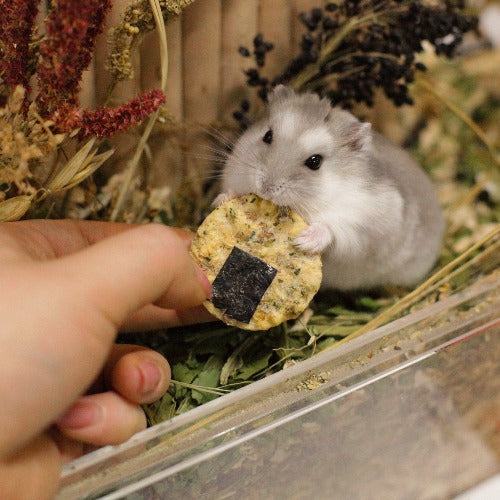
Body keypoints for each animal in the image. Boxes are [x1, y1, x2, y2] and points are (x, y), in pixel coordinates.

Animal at [217, 84, 444, 292]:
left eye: (315, 162)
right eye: (267, 136)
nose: (265, 188)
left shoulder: (364, 227)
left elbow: (334, 231)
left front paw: (302, 241)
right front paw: (223, 199)